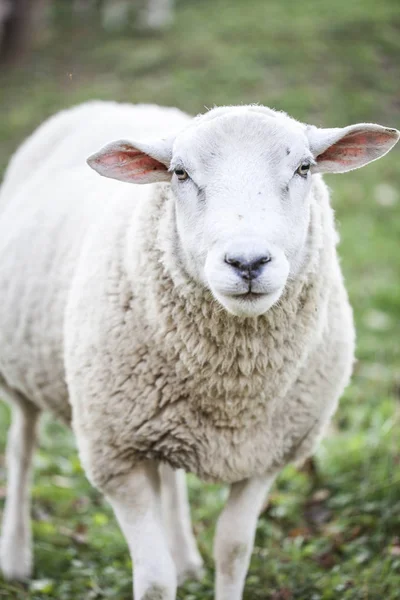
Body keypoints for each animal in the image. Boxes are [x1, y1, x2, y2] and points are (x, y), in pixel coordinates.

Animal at [0, 101, 398, 596]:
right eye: (180, 173)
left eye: (304, 168)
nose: (247, 262)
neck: (231, 392)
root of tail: (111, 105)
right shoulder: (115, 457)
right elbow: (154, 579)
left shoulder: (264, 455)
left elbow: (233, 551)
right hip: (22, 370)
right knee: (22, 448)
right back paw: (17, 558)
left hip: (160, 414)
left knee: (167, 475)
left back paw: (186, 557)